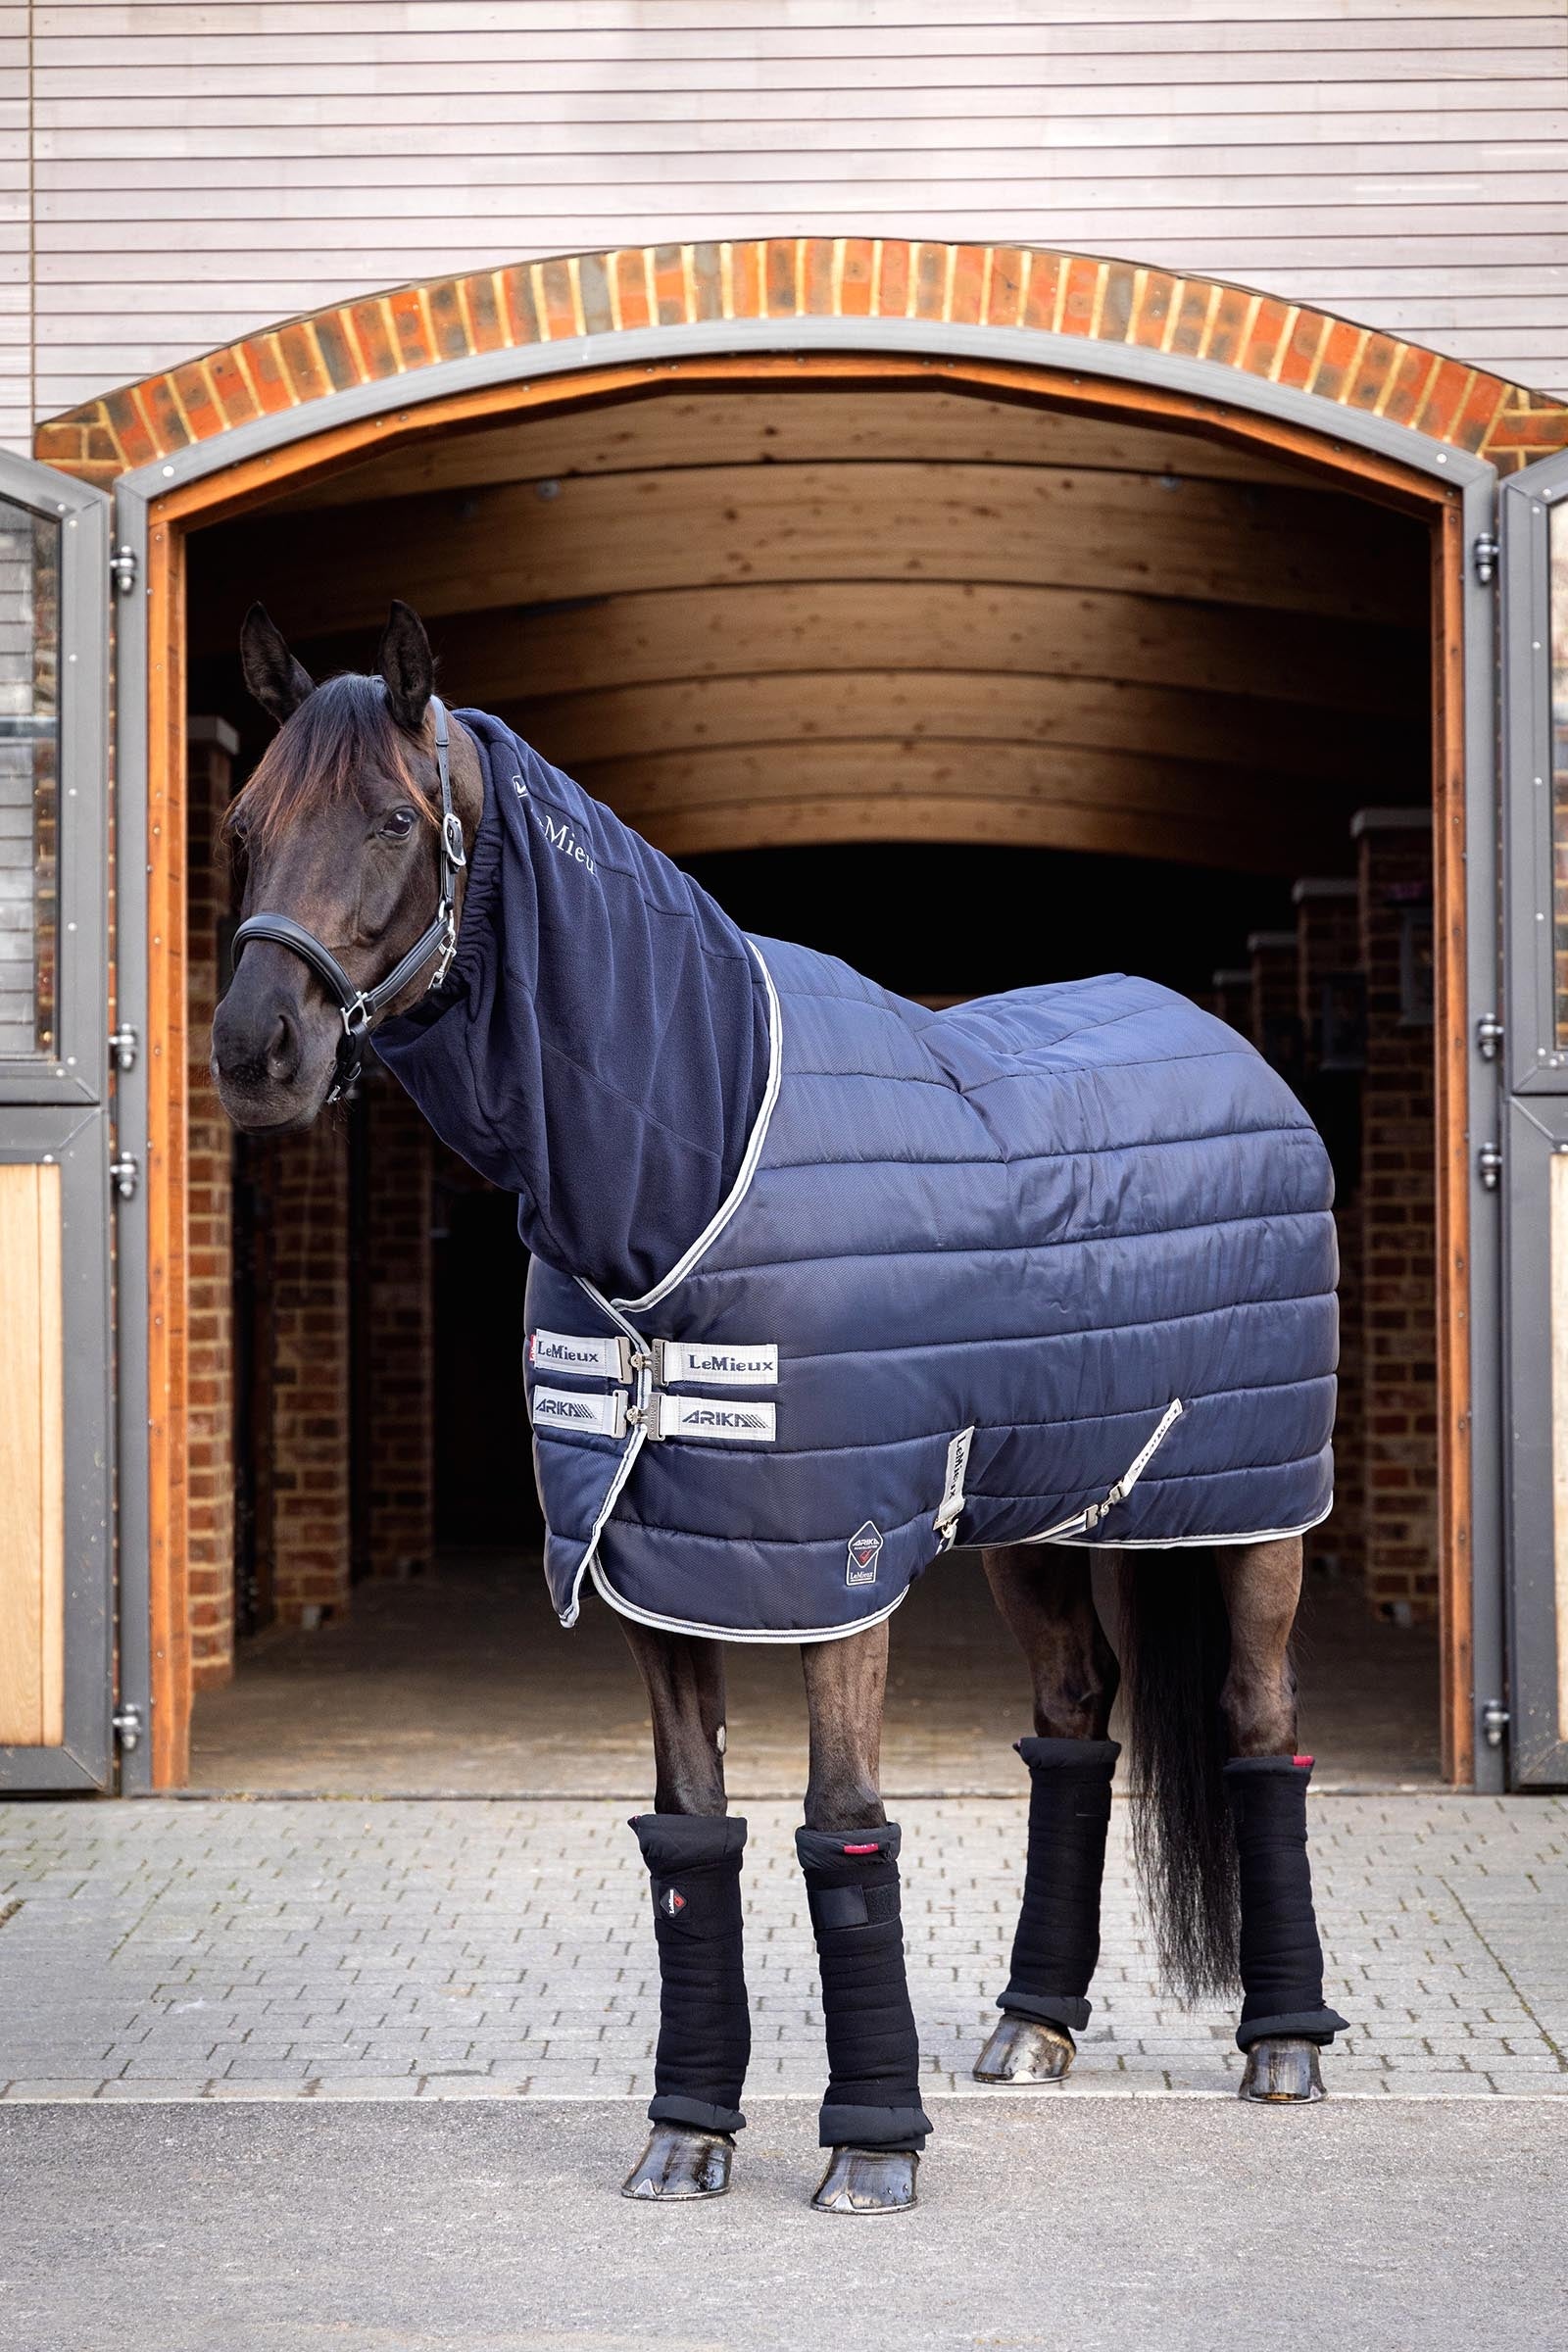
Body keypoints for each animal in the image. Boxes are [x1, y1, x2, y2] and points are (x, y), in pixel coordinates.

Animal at [212, 600, 1348, 2215]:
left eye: (390, 820)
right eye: (242, 824)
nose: (255, 1052)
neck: (690, 1174)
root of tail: (1239, 1054)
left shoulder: (842, 1569)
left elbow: (843, 1828)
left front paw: (870, 2151)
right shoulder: (653, 1566)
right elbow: (691, 1836)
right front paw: (687, 2136)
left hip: (1254, 1513)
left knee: (1262, 1726)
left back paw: (1285, 2048)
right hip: (1040, 1517)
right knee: (1076, 1718)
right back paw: (1031, 2027)